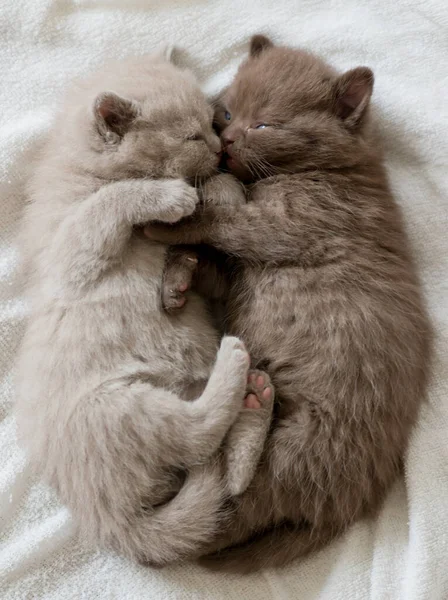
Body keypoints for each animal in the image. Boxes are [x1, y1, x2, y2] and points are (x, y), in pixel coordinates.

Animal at [14, 50, 272, 568]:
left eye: (212, 122)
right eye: (193, 135)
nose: (220, 149)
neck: (83, 174)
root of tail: (107, 519)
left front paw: (213, 190)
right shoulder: (69, 257)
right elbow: (108, 201)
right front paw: (172, 195)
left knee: (227, 476)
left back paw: (255, 401)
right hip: (119, 407)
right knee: (199, 436)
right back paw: (235, 365)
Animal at [145, 37, 432, 572]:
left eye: (264, 125)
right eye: (227, 112)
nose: (227, 140)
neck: (331, 172)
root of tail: (345, 507)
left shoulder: (288, 225)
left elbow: (223, 222)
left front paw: (171, 224)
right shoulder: (237, 268)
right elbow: (211, 260)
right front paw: (176, 278)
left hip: (302, 444)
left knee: (226, 513)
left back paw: (247, 409)